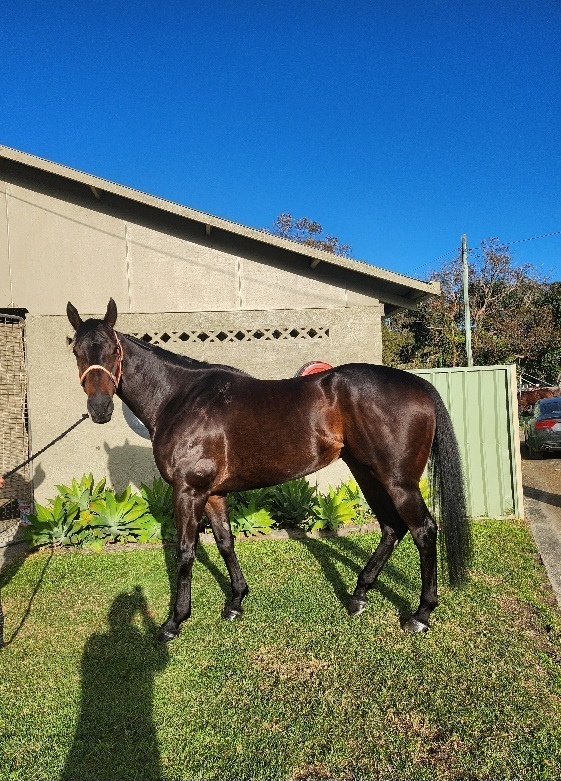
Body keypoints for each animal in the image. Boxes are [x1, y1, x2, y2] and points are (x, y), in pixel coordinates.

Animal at [67, 298, 473, 642]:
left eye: (114, 349)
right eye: (75, 351)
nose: (100, 408)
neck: (180, 399)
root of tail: (418, 383)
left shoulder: (188, 492)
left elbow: (185, 551)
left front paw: (174, 622)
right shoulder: (213, 493)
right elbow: (226, 542)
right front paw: (235, 602)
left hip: (399, 481)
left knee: (423, 531)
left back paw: (420, 615)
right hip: (366, 473)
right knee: (392, 527)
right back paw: (359, 595)